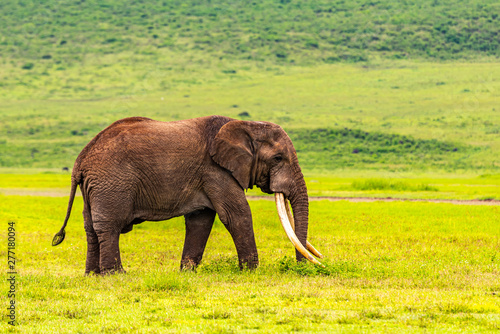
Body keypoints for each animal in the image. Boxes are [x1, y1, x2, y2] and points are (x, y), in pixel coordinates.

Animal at [51, 115, 324, 274]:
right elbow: (237, 215)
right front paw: (251, 272)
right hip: (112, 183)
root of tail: (81, 160)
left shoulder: (206, 176)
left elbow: (200, 220)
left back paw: (92, 275)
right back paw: (116, 275)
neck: (244, 126)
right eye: (278, 158)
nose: (300, 268)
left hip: (96, 186)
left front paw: (187, 272)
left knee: (91, 228)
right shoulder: (216, 170)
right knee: (109, 226)